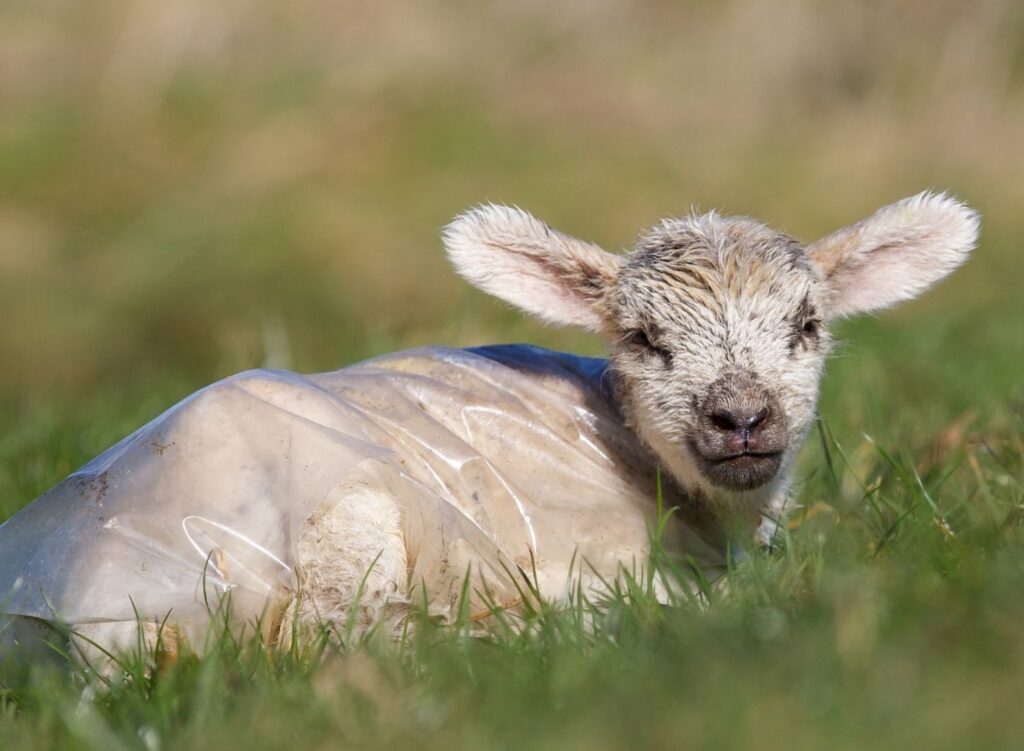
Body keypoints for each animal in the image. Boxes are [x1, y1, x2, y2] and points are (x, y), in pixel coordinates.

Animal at [0, 188, 974, 663]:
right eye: (642, 338)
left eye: (808, 326)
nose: (740, 415)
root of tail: (56, 592)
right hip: (335, 521)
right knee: (332, 640)